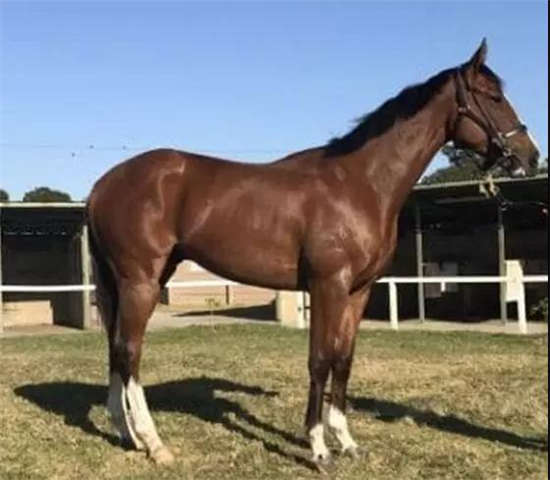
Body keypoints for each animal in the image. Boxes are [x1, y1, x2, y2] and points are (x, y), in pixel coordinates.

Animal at [86, 39, 539, 469]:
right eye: (493, 96)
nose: (530, 155)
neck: (360, 183)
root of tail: (102, 186)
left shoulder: (358, 291)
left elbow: (344, 359)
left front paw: (347, 441)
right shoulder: (328, 285)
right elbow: (320, 360)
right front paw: (319, 448)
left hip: (136, 280)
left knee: (115, 348)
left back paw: (126, 433)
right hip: (141, 281)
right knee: (129, 351)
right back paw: (155, 444)